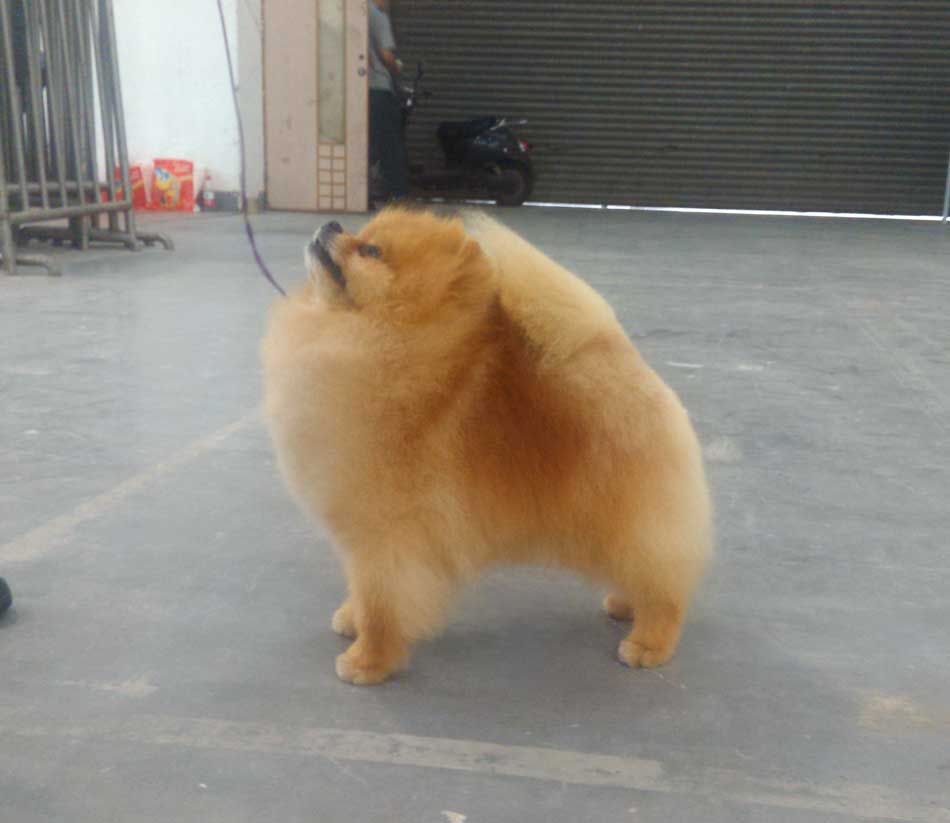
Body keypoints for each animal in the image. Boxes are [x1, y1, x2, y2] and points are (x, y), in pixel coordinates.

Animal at [261, 208, 712, 685]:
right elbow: (361, 589)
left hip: (632, 515)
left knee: (664, 584)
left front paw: (369, 661)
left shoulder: (386, 534)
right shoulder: (362, 537)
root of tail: (617, 357)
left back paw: (649, 643)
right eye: (358, 233)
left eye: (370, 249)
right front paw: (352, 618)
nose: (331, 224)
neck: (379, 339)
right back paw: (624, 605)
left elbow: (382, 602)